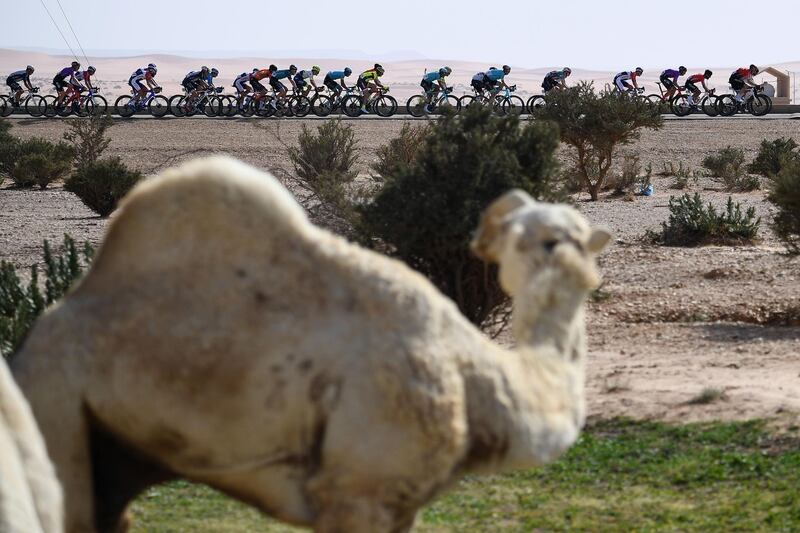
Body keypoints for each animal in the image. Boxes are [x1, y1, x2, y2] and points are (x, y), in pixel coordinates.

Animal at [9, 156, 608, 528]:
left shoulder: (402, 504)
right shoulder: (360, 491)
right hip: (52, 407)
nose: (582, 268)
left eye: (578, 236)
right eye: (545, 239)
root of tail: (30, 342)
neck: (472, 376)